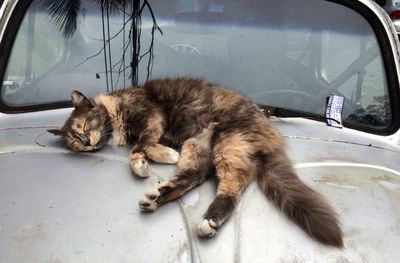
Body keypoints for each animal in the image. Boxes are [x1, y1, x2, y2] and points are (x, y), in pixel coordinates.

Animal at [48, 77, 344, 249]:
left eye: (84, 125)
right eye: (74, 141)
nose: (86, 142)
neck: (115, 111)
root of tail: (269, 133)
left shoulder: (152, 116)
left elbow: (140, 144)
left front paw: (156, 159)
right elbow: (139, 148)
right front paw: (153, 160)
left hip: (227, 145)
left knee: (232, 186)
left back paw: (209, 221)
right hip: (198, 145)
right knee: (192, 177)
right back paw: (156, 197)